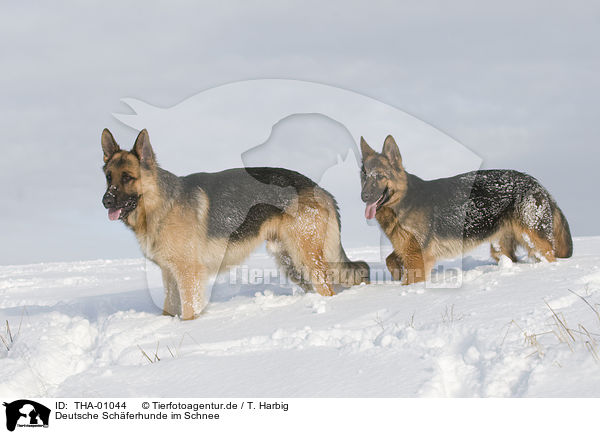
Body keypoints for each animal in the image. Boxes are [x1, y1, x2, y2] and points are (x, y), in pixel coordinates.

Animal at [101, 128, 368, 318]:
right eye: (108, 177)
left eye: (128, 177)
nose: (105, 201)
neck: (161, 203)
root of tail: (319, 188)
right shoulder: (169, 275)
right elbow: (169, 310)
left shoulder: (188, 275)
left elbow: (188, 313)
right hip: (291, 262)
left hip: (306, 258)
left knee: (327, 288)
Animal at [360, 136, 572, 284]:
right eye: (364, 176)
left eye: (379, 176)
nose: (364, 196)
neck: (404, 200)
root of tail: (538, 184)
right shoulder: (407, 249)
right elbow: (390, 259)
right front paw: (396, 274)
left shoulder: (417, 257)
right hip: (500, 248)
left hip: (535, 242)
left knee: (549, 257)